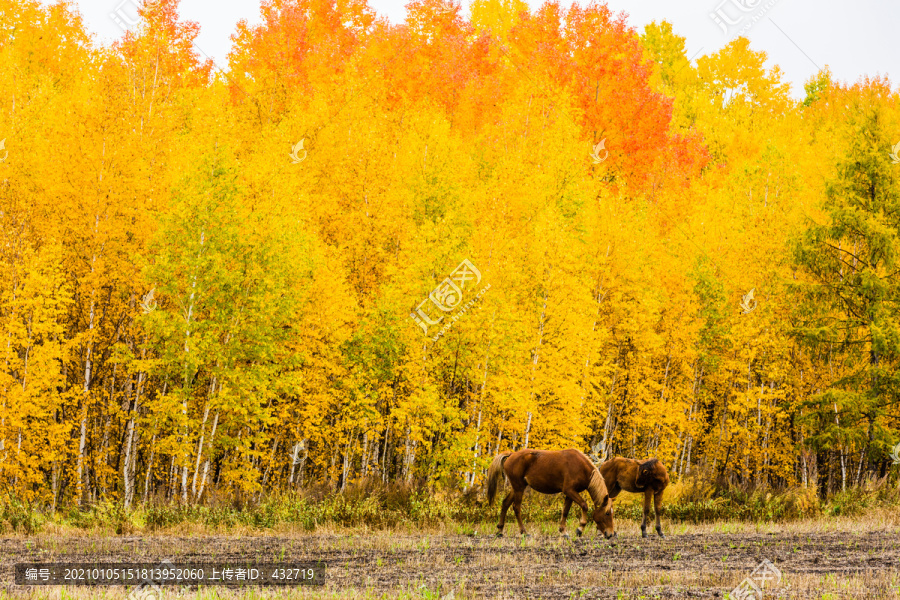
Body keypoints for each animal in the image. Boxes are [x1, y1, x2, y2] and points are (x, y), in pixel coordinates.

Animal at [486, 446, 620, 540]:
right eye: (607, 513)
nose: (610, 534)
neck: (580, 467)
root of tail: (511, 454)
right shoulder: (569, 491)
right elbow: (584, 505)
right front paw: (580, 529)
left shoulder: (570, 493)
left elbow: (565, 511)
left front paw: (563, 532)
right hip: (519, 488)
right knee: (516, 507)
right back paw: (524, 532)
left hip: (516, 488)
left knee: (505, 504)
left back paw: (499, 531)